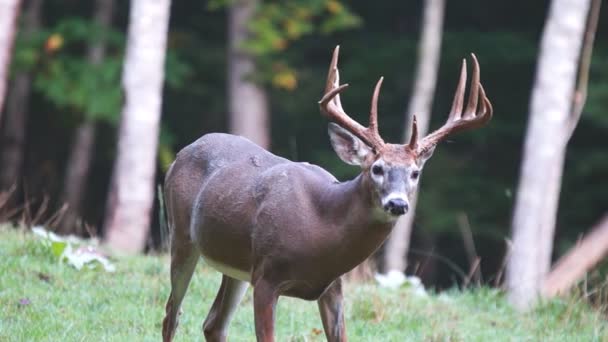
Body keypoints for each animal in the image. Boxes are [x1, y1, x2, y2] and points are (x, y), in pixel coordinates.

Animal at [160, 46, 490, 342]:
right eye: (377, 168)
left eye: (415, 173)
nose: (397, 203)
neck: (322, 226)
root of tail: (182, 152)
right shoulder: (266, 276)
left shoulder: (333, 286)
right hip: (182, 236)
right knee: (171, 315)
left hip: (236, 264)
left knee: (213, 324)